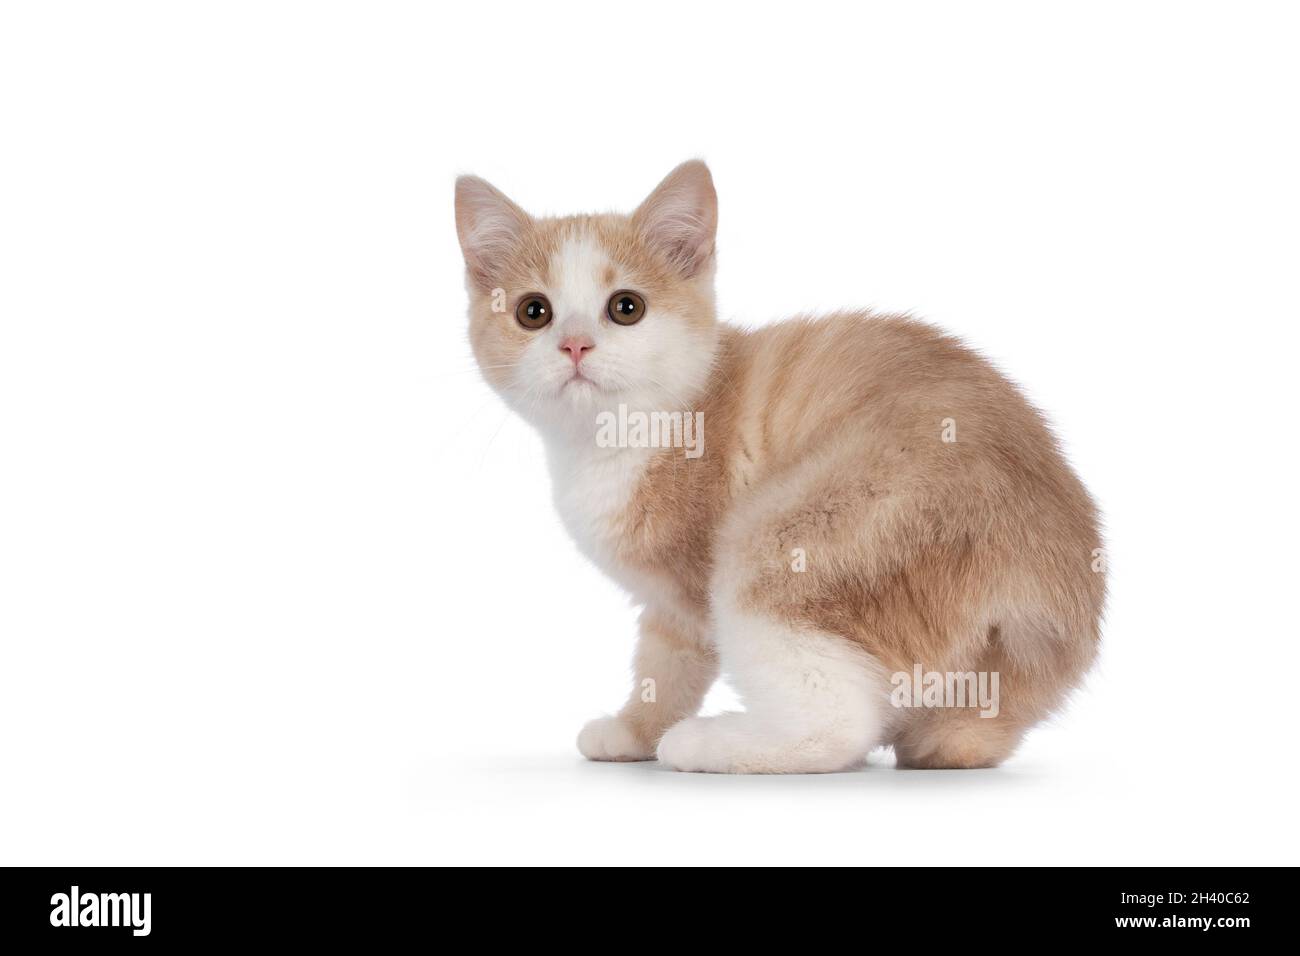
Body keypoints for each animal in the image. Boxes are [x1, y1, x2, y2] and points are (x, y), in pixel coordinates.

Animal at [452, 158, 1102, 770]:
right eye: (533, 312)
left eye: (626, 307)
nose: (576, 345)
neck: (617, 437)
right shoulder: (669, 604)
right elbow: (665, 661)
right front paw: (634, 732)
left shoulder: (689, 589)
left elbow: (670, 666)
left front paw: (639, 730)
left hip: (791, 528)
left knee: (839, 723)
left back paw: (711, 743)